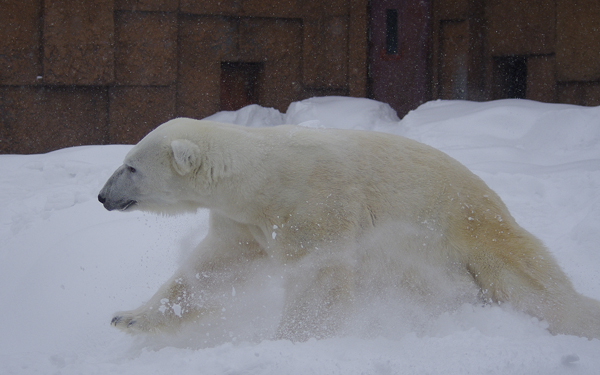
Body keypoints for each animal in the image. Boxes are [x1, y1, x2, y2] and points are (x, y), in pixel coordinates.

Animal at [98, 117, 600, 340]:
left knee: (531, 282)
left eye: (131, 167)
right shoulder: (244, 224)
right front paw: (128, 317)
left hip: (469, 227)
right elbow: (213, 269)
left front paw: (291, 340)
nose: (103, 196)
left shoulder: (315, 203)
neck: (263, 178)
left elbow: (319, 273)